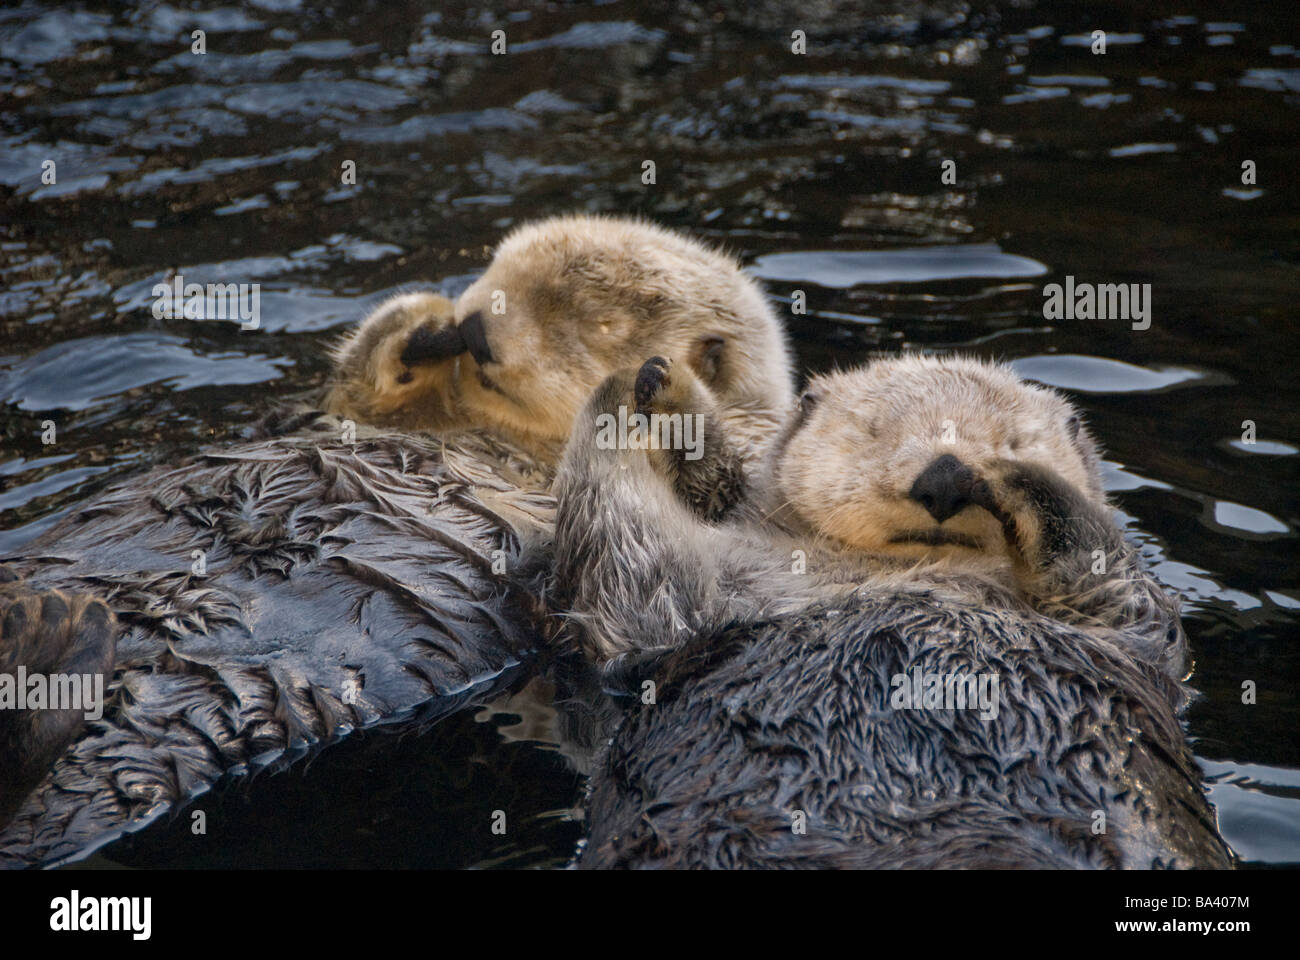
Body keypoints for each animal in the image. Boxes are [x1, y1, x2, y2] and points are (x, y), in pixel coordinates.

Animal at [0, 214, 795, 867]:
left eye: (597, 324)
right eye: (496, 271)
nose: (475, 329)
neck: (510, 439)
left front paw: (668, 403)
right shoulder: (337, 416)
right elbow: (347, 397)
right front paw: (422, 329)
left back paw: (48, 639)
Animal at [546, 354, 1233, 869]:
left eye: (1013, 438)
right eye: (875, 432)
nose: (947, 475)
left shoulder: (1130, 629)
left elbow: (1120, 584)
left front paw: (1015, 476)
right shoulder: (689, 606)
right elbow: (628, 555)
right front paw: (650, 391)